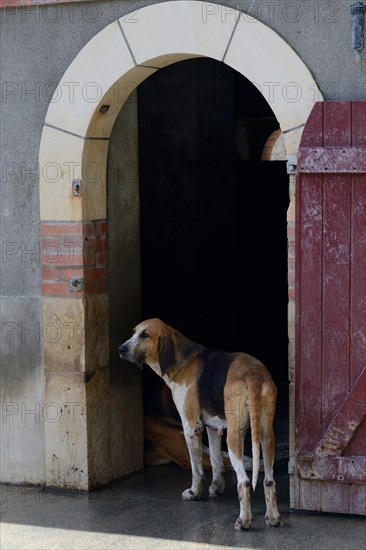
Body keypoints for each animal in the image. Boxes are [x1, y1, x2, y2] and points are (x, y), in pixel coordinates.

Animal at [120, 322, 284, 532]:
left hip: (234, 438)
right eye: (134, 332)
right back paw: (273, 518)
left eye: (145, 335)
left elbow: (196, 470)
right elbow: (216, 460)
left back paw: (244, 521)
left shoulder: (192, 429)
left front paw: (194, 493)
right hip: (266, 435)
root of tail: (253, 374)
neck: (184, 360)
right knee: (269, 480)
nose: (121, 349)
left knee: (245, 482)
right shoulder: (213, 428)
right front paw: (217, 488)